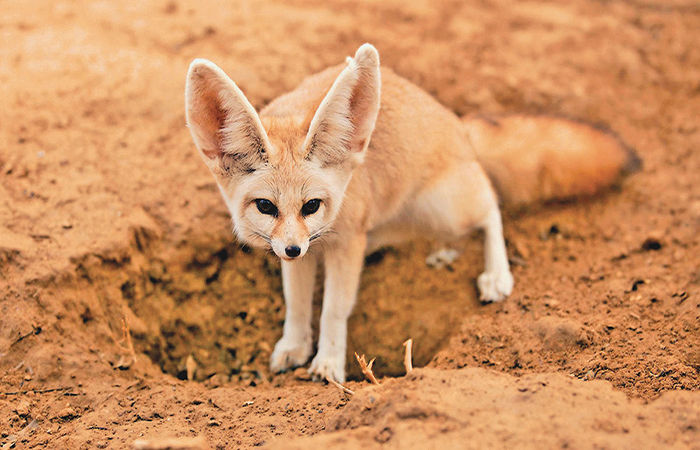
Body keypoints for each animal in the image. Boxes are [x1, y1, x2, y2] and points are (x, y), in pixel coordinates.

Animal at [185, 44, 639, 383]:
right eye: (266, 207)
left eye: (311, 205)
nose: (293, 249)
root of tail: (457, 124)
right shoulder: (308, 249)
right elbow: (296, 304)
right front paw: (294, 346)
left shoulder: (345, 243)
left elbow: (333, 309)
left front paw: (328, 363)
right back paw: (443, 251)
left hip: (447, 205)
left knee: (491, 206)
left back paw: (496, 273)